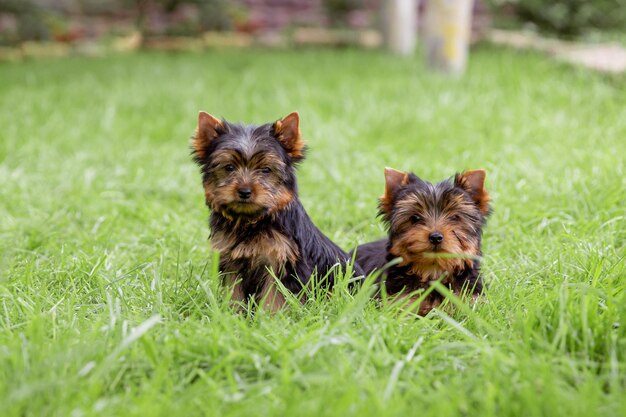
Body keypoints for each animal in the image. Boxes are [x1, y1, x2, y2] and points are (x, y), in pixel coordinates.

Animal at [190, 110, 360, 308]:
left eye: (266, 170)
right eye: (229, 167)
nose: (245, 191)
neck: (251, 221)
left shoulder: (281, 262)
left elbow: (275, 296)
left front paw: (269, 315)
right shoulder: (231, 262)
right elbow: (234, 292)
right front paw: (232, 312)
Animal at [354, 167, 490, 314]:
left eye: (454, 217)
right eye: (415, 218)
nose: (436, 237)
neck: (432, 271)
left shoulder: (469, 298)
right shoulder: (399, 300)